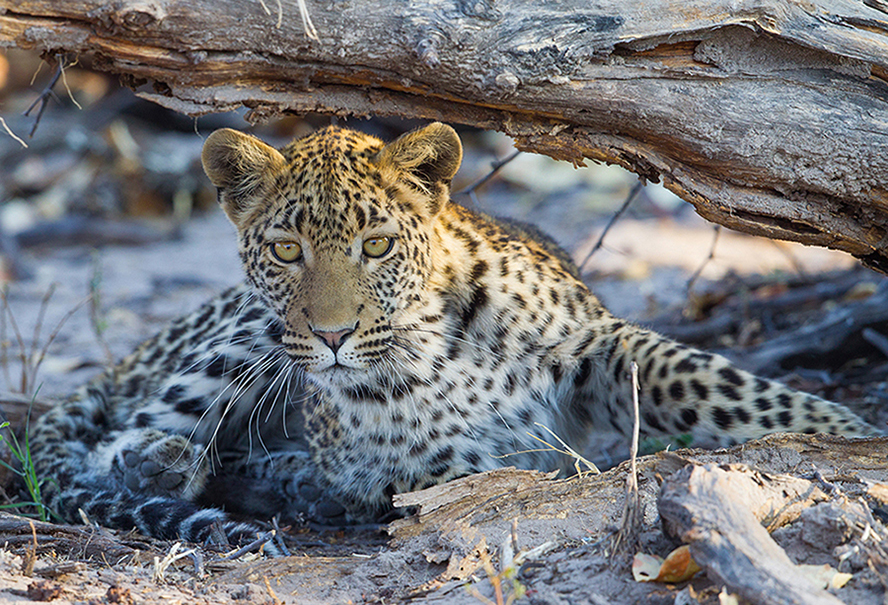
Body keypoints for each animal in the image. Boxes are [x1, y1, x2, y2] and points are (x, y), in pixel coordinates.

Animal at [26, 120, 876, 548]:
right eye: (287, 251)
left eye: (375, 245)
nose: (332, 335)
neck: (429, 339)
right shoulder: (417, 457)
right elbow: (475, 462)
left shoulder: (596, 342)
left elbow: (711, 380)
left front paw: (845, 430)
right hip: (241, 340)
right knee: (121, 435)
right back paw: (183, 464)